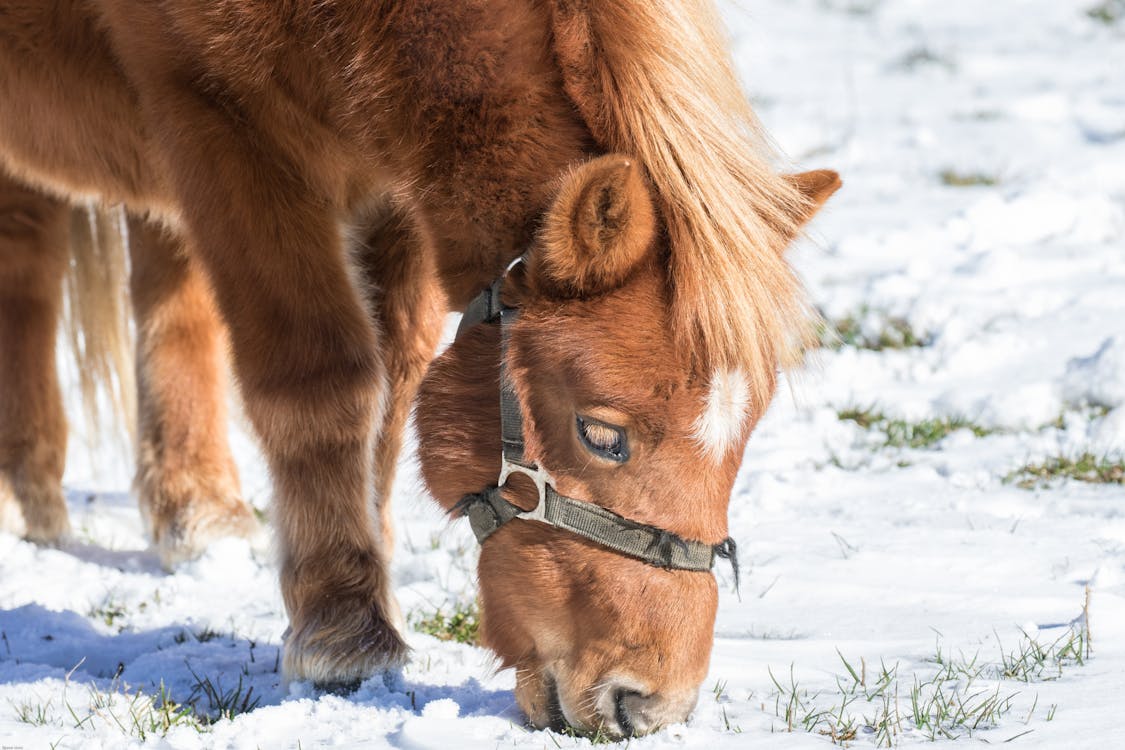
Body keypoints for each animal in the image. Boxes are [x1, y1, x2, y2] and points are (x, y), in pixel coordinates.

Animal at [0, 0, 841, 737]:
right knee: (31, 264)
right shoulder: (219, 123)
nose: (651, 704)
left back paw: (193, 511)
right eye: (601, 434)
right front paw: (343, 633)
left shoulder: (392, 179)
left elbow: (393, 382)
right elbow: (320, 379)